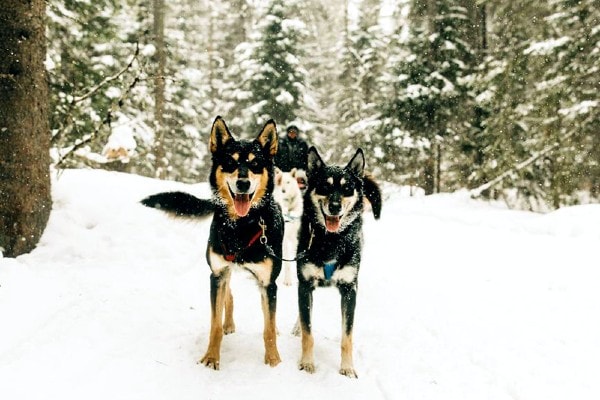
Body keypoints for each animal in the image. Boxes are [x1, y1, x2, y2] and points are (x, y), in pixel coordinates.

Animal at [141, 117, 284, 370]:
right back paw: (229, 324)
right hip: (223, 272)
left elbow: (268, 328)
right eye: (230, 162)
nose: (243, 183)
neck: (242, 227)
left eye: (256, 163)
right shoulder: (217, 274)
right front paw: (211, 357)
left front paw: (273, 361)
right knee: (229, 295)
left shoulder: (268, 283)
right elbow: (214, 324)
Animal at [296, 146, 380, 378]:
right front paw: (307, 363)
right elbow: (308, 332)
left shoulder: (350, 290)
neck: (330, 241)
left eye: (347, 188)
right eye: (324, 186)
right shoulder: (305, 285)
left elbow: (347, 337)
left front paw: (347, 367)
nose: (334, 206)